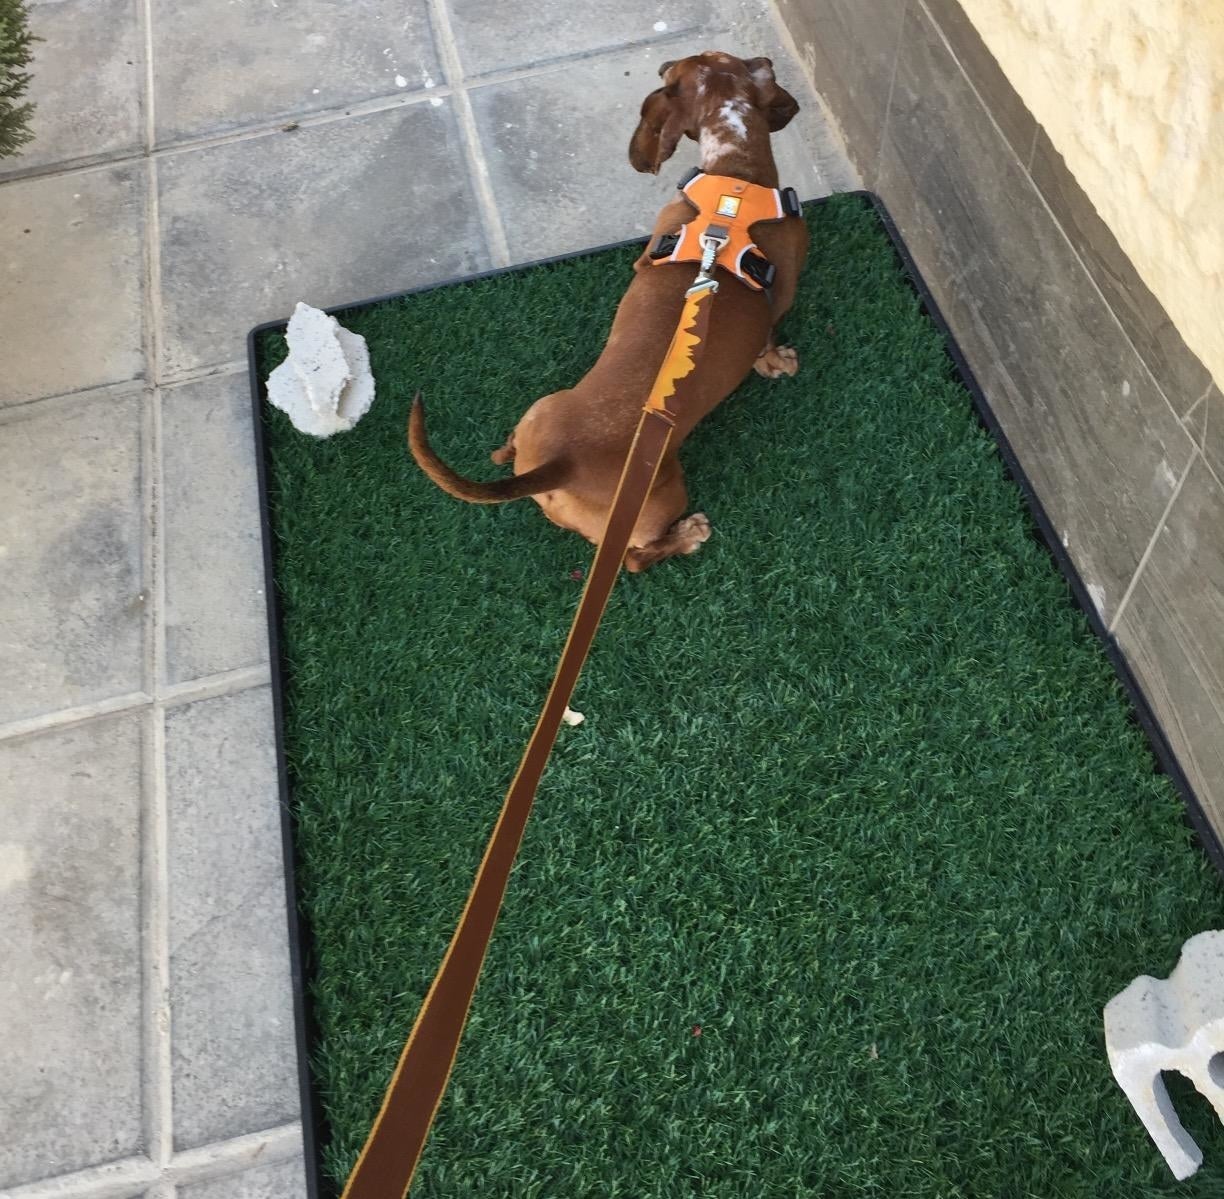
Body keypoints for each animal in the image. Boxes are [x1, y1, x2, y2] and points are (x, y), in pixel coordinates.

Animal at [413, 49, 812, 570]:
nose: (661, 66)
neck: (733, 185)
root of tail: (561, 466)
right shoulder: (779, 297)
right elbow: (768, 339)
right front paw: (777, 362)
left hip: (543, 410)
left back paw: (506, 451)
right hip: (664, 494)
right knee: (637, 558)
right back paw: (688, 535)